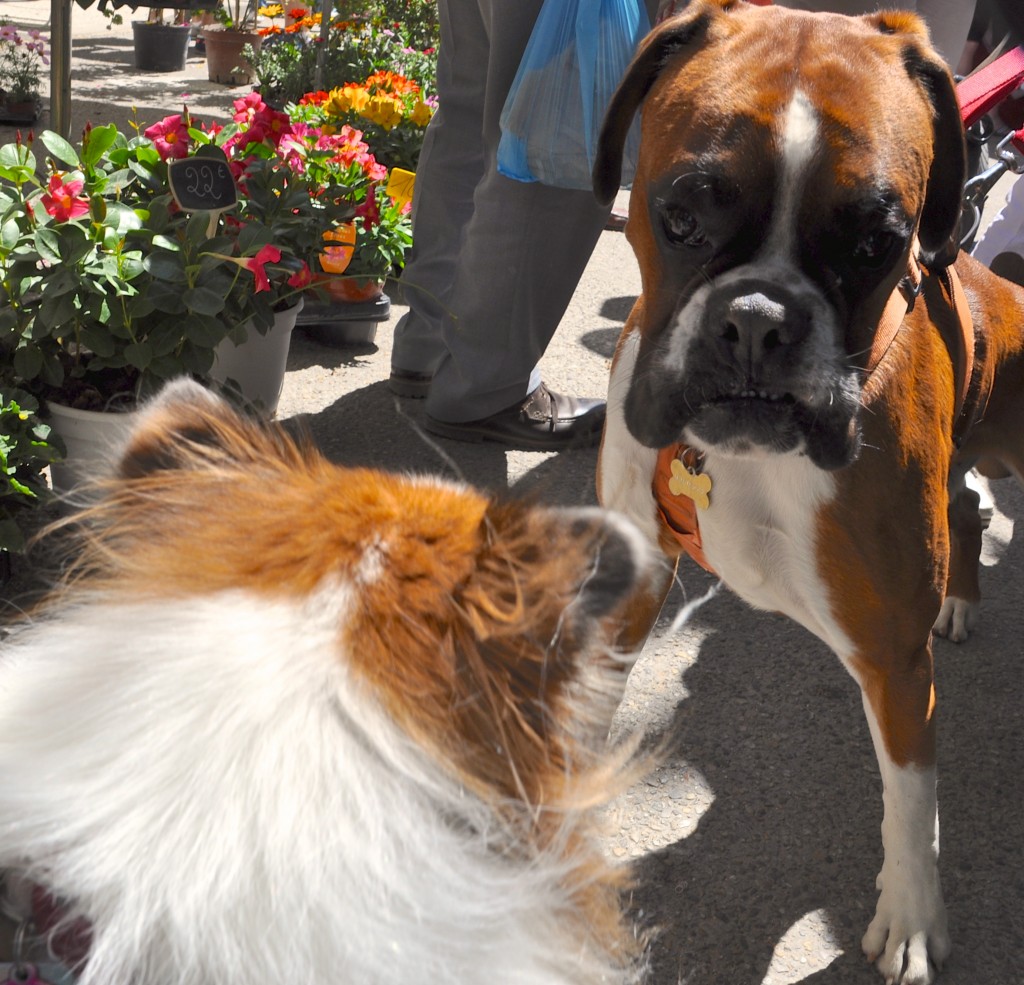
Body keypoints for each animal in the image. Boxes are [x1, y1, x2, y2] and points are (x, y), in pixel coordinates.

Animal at [593, 1, 1024, 982]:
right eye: (681, 215)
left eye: (875, 244)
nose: (757, 320)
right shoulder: (634, 572)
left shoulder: (894, 659)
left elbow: (911, 801)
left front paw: (911, 918)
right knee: (968, 501)